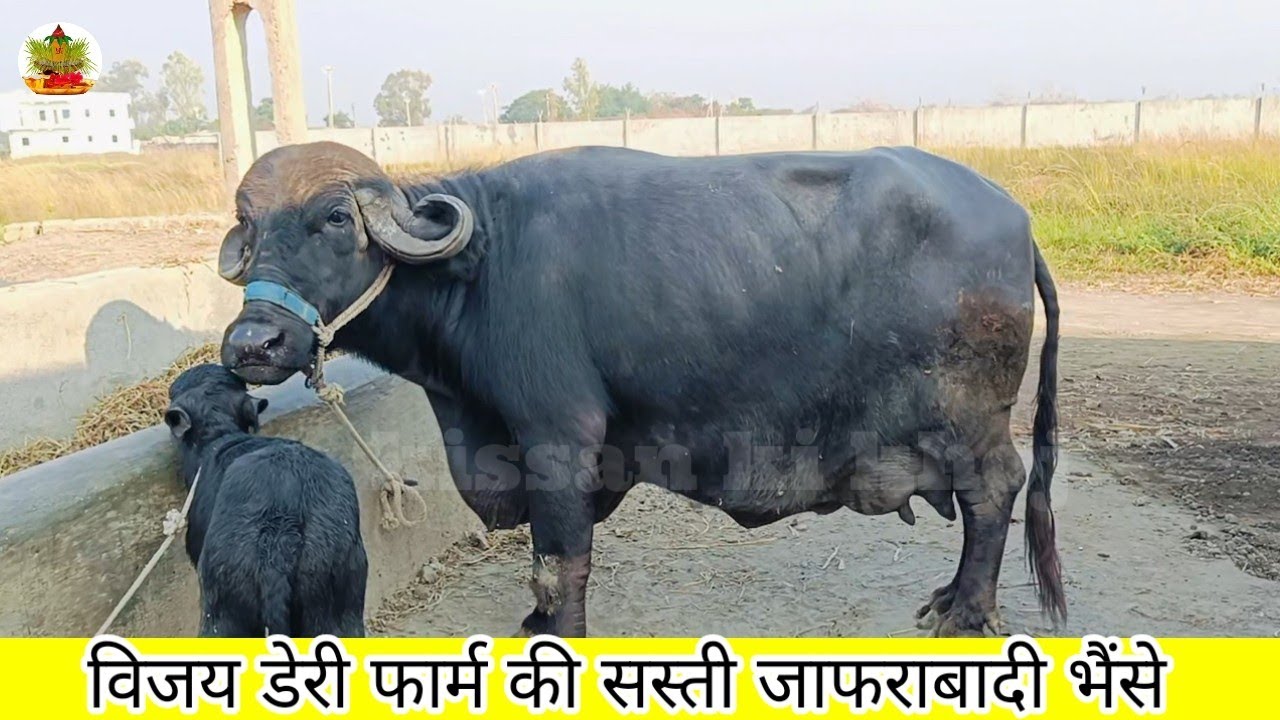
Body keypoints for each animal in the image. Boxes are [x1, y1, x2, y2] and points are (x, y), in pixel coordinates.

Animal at [219, 141, 1063, 637]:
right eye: (248, 224)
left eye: (335, 217)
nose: (252, 345)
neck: (482, 265)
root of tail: (1017, 217)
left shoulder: (559, 438)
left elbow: (559, 560)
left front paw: (557, 633)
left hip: (970, 420)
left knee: (996, 491)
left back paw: (968, 612)